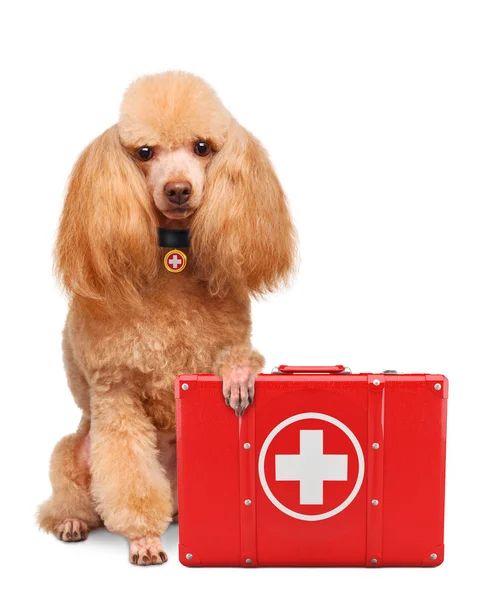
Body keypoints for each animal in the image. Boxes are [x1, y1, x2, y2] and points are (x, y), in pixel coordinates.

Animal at [37, 72, 296, 564]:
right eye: (144, 153)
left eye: (203, 147)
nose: (178, 190)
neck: (170, 258)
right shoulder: (115, 394)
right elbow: (128, 476)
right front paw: (143, 539)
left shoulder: (225, 341)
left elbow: (239, 355)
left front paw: (238, 376)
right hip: (72, 451)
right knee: (74, 497)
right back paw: (72, 522)